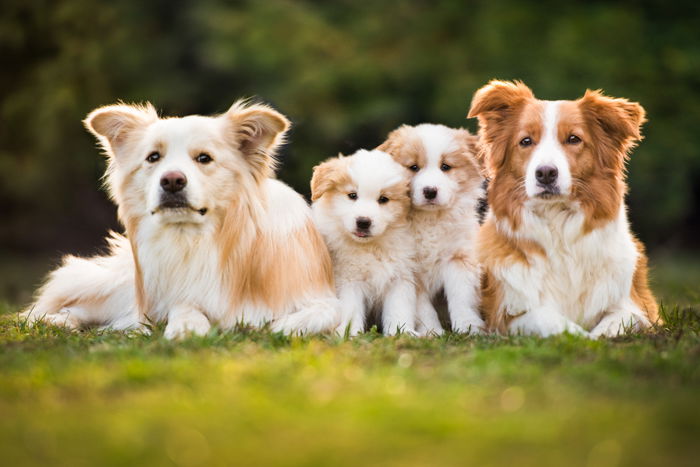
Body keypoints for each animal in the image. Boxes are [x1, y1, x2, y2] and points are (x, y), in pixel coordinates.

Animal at [26, 100, 344, 338]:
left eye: (204, 158)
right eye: (153, 158)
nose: (172, 181)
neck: (197, 239)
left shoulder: (318, 293)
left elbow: (328, 313)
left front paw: (281, 326)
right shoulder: (170, 294)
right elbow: (184, 305)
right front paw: (186, 326)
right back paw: (53, 320)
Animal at [310, 150, 416, 336]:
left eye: (383, 199)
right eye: (352, 195)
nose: (363, 222)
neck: (370, 247)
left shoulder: (400, 276)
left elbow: (399, 308)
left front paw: (401, 333)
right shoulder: (348, 280)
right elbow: (350, 308)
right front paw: (348, 333)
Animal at [378, 124, 486, 336]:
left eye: (445, 167)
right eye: (413, 167)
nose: (430, 191)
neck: (430, 220)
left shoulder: (458, 257)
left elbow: (462, 297)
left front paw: (469, 327)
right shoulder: (412, 268)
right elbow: (423, 308)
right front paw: (431, 331)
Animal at [468, 79, 660, 336]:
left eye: (573, 139)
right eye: (526, 141)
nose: (546, 173)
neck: (557, 224)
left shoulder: (640, 308)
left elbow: (614, 323)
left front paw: (597, 337)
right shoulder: (506, 315)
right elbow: (550, 319)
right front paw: (581, 336)